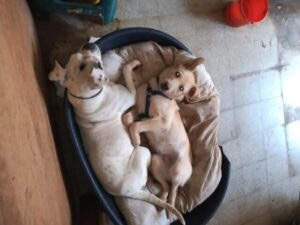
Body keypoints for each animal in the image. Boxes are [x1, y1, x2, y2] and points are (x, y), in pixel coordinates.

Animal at [48, 43, 185, 224]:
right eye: (87, 64)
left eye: (78, 55)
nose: (88, 44)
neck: (84, 96)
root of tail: (127, 193)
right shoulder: (132, 95)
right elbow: (126, 70)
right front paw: (133, 64)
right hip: (143, 152)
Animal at [122, 56, 204, 214]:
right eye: (177, 74)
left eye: (181, 89)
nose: (166, 85)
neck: (156, 92)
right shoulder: (139, 107)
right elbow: (128, 119)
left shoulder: (162, 121)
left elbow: (136, 125)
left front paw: (136, 139)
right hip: (155, 161)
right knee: (166, 186)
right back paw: (162, 200)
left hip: (178, 171)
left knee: (173, 191)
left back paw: (169, 207)